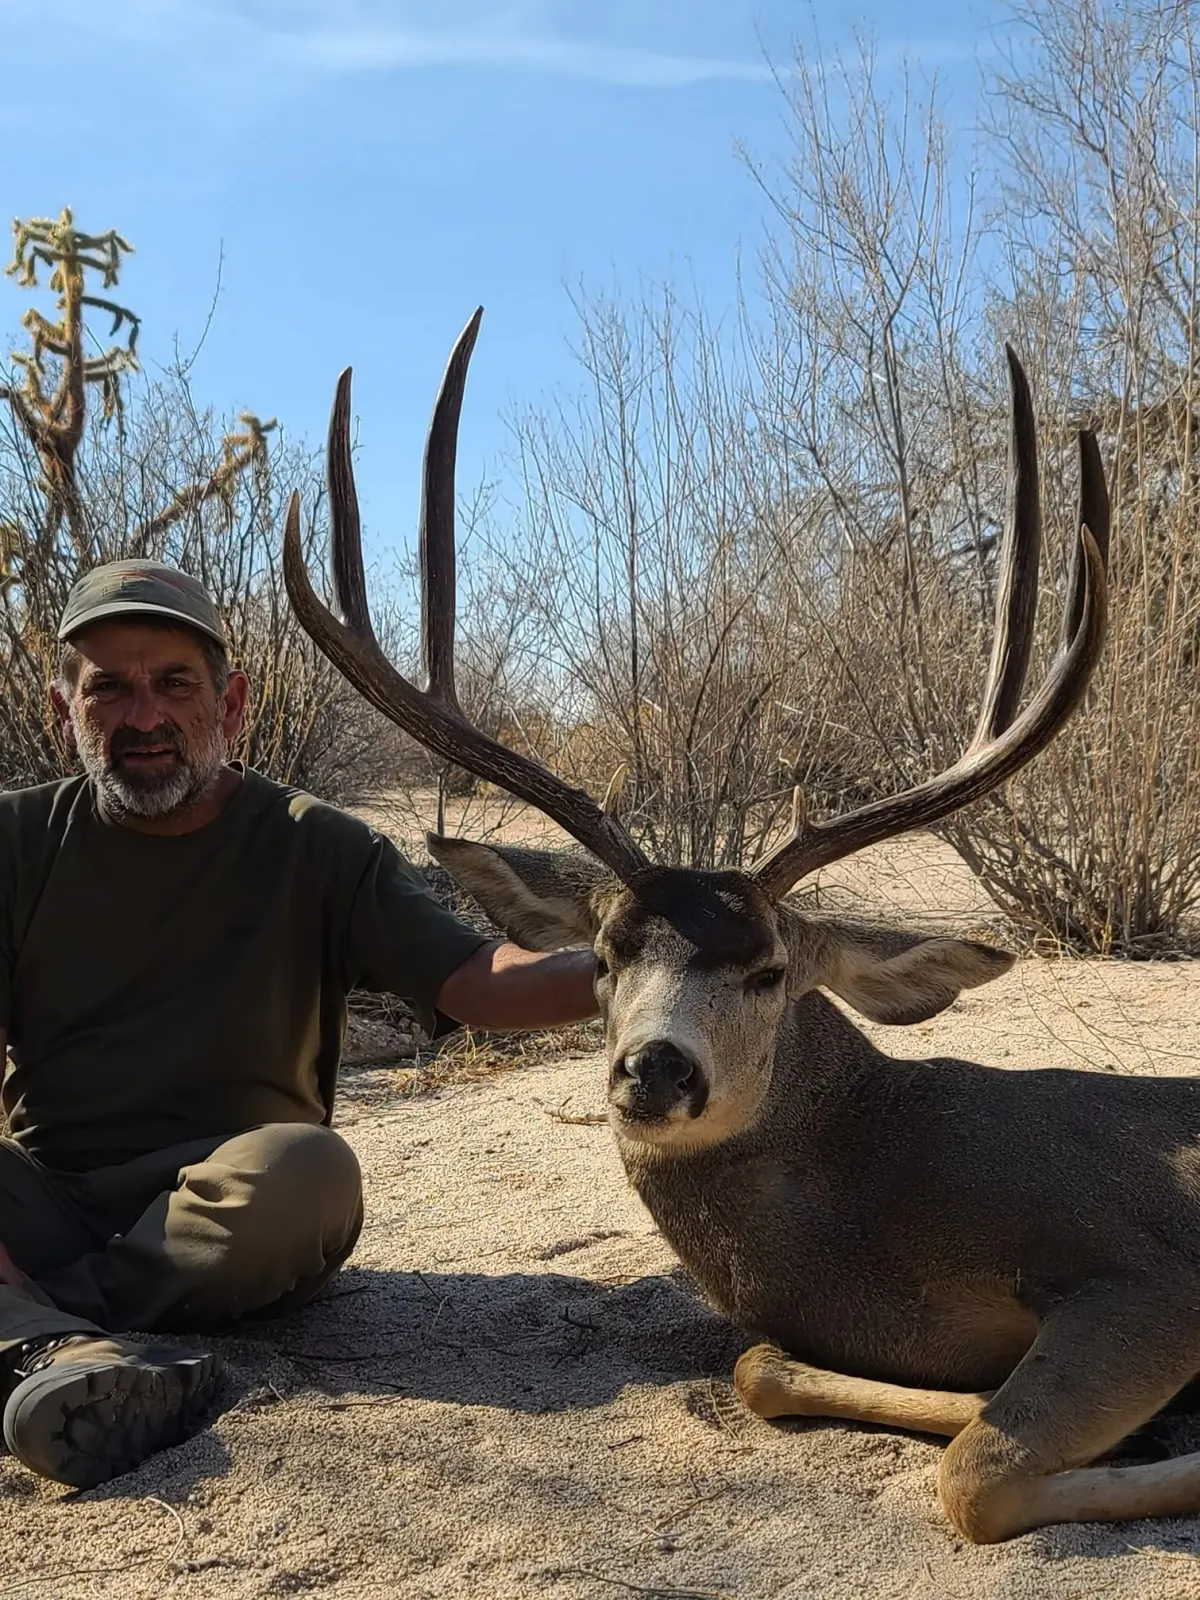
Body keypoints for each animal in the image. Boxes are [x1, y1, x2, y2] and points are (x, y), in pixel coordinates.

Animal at [282, 310, 1200, 1546]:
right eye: (605, 956)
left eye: (769, 970)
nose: (656, 1068)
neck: (871, 1203)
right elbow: (766, 1368)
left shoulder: (1146, 1266)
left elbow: (975, 1476)